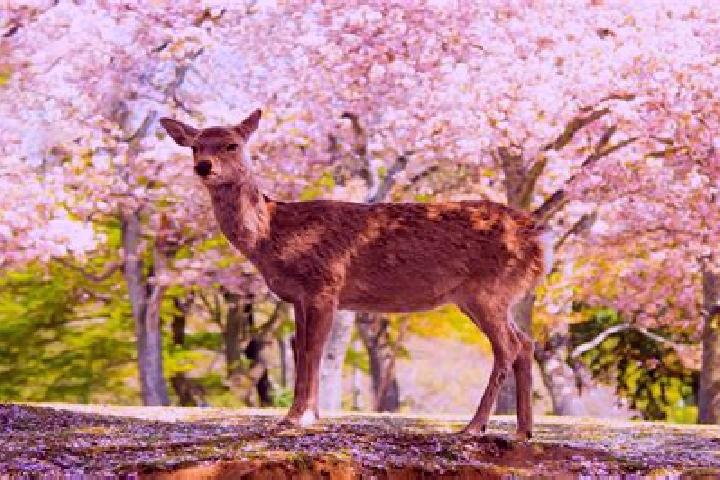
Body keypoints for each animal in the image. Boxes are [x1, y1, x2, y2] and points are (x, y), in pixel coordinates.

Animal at [160, 109, 554, 440]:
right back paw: (523, 431)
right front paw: (308, 415)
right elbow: (301, 349)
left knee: (508, 346)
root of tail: (537, 236)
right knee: (525, 342)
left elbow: (313, 350)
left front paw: (295, 418)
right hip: (487, 297)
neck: (274, 235)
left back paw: (474, 427)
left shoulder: (325, 283)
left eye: (233, 144)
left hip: (487, 290)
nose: (204, 166)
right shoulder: (298, 296)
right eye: (195, 146)